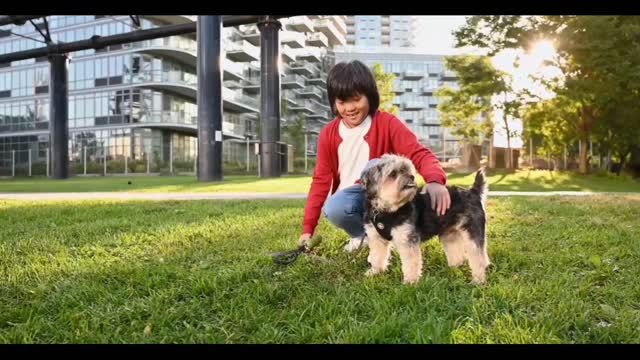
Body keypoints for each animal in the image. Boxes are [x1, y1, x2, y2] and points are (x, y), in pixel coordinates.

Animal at [360, 154, 490, 284]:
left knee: (479, 257)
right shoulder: (376, 238)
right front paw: (375, 272)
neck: (387, 209)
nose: (412, 176)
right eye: (393, 174)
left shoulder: (407, 240)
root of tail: (474, 191)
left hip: (472, 231)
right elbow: (377, 256)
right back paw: (453, 269)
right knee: (459, 255)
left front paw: (410, 281)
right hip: (449, 234)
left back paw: (478, 280)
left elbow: (411, 263)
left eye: (407, 170)